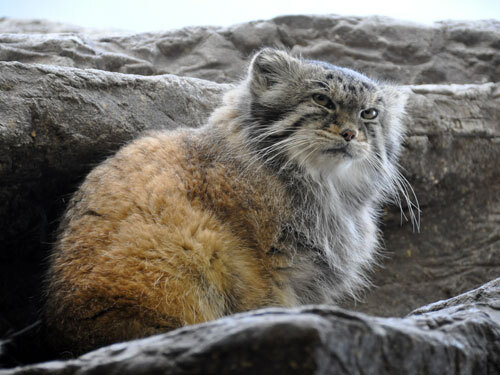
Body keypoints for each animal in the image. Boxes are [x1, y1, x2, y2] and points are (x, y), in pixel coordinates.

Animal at [44, 47, 418, 356]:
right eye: (322, 100)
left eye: (369, 114)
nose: (351, 134)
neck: (324, 186)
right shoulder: (258, 263)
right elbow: (263, 305)